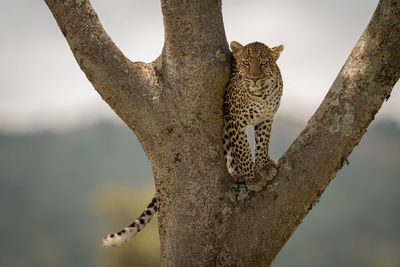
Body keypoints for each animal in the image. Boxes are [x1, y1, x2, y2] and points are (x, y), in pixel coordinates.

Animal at [222, 40, 284, 193]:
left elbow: (262, 142)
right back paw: (237, 173)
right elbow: (243, 150)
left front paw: (264, 167)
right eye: (246, 63)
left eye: (263, 63)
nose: (254, 78)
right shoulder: (236, 121)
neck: (262, 95)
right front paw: (252, 179)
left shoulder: (266, 117)